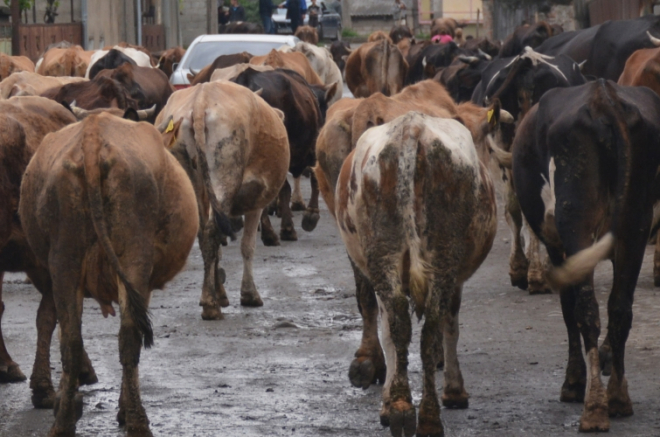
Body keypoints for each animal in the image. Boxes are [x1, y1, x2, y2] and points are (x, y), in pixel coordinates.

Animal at [18, 109, 199, 436]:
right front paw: (123, 410)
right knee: (129, 337)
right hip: (133, 257)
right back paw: (137, 420)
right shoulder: (143, 284)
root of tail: (93, 135)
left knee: (71, 341)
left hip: (64, 259)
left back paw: (63, 423)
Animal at [156, 82, 290, 318]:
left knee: (205, 235)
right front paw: (249, 294)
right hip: (225, 175)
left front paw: (222, 292)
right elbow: (247, 246)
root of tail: (201, 99)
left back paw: (210, 297)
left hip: (192, 180)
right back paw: (210, 305)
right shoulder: (256, 201)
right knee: (212, 233)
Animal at [336, 110, 496, 434]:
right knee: (430, 328)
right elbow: (451, 327)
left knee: (399, 324)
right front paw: (455, 390)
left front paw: (388, 404)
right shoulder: (456, 279)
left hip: (385, 254)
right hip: (441, 256)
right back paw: (426, 415)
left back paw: (402, 409)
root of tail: (412, 128)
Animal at [512, 79, 660, 432]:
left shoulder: (559, 246)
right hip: (635, 224)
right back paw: (618, 397)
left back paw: (594, 407)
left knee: (588, 310)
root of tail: (604, 98)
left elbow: (569, 310)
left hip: (576, 221)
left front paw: (573, 382)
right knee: (620, 308)